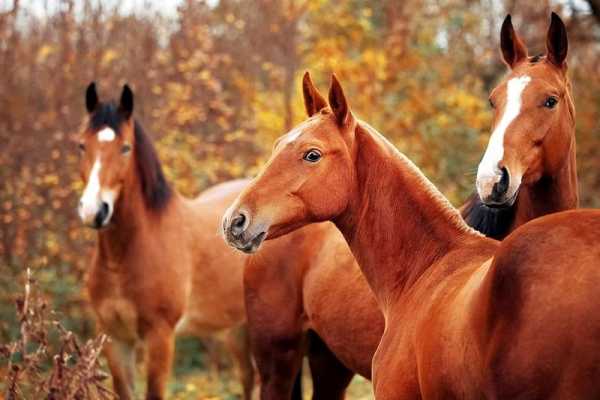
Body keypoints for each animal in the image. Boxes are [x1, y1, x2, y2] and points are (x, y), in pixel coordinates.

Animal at [77, 83, 253, 398]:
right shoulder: (115, 338)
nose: (93, 211)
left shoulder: (160, 337)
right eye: (82, 145)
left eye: (125, 148)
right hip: (237, 328)